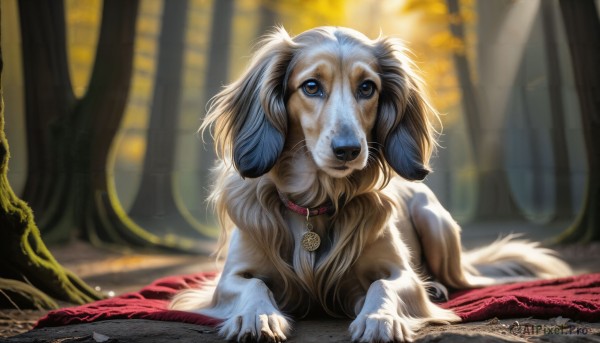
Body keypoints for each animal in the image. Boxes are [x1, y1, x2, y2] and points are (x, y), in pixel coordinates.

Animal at [170, 27, 572, 343]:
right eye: (311, 86)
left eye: (367, 87)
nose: (349, 149)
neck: (317, 202)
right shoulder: (228, 278)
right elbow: (253, 285)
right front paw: (258, 316)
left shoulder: (397, 272)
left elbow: (385, 285)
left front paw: (381, 318)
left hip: (434, 221)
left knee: (460, 277)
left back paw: (437, 285)